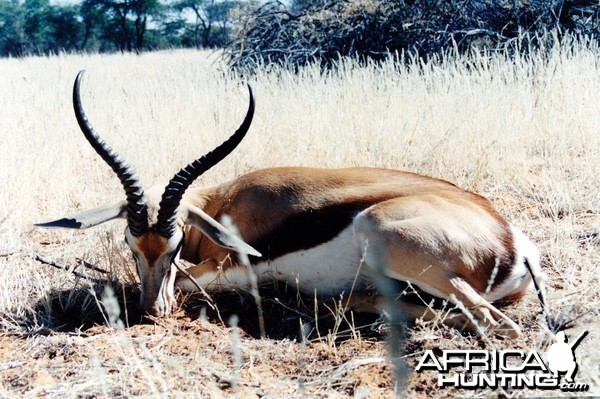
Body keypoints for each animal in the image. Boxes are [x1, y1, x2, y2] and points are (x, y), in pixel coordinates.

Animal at [37, 71, 544, 338]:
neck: (222, 204)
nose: (151, 310)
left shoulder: (229, 266)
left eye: (175, 245)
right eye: (130, 243)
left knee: (498, 324)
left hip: (382, 230)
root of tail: (511, 242)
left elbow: (187, 281)